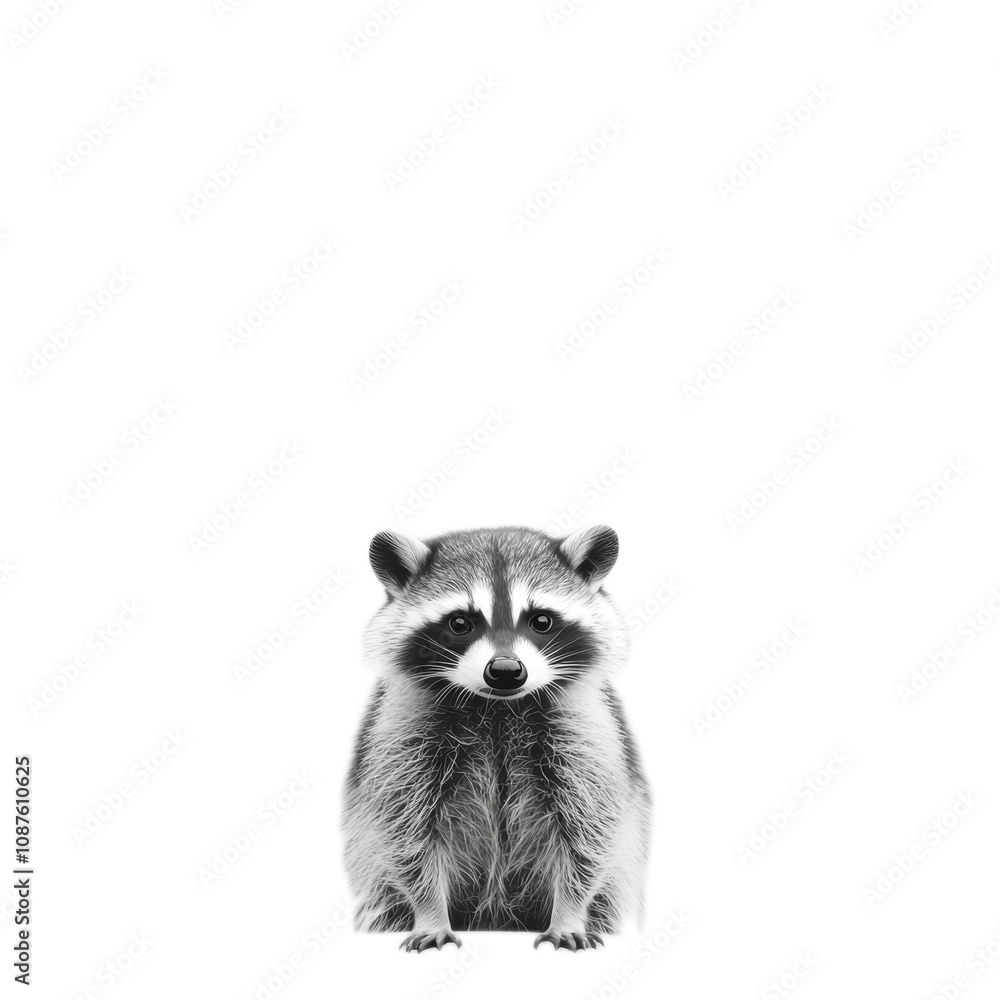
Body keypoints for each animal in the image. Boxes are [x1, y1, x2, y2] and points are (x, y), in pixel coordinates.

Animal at [343, 524, 651, 952]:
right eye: (460, 623)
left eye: (541, 621)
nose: (506, 670)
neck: (498, 708)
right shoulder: (403, 726)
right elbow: (404, 830)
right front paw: (430, 912)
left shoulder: (585, 726)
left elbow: (590, 829)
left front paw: (568, 912)